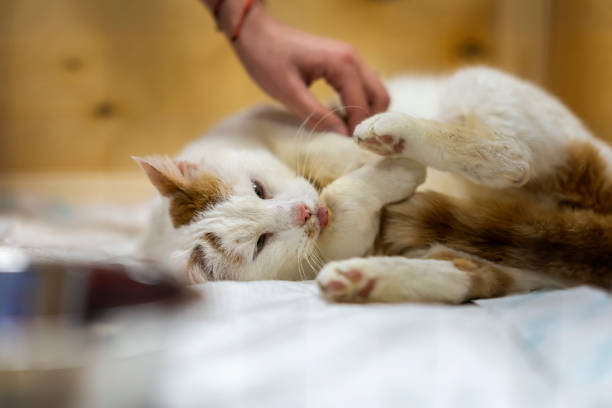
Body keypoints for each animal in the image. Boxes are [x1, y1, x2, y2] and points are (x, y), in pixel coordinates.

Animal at [136, 67, 612, 302]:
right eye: (260, 244)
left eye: (258, 189)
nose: (305, 213)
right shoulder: (331, 242)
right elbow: (342, 204)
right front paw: (394, 176)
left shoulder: (288, 125)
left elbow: (330, 151)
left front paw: (375, 163)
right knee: (467, 274)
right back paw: (361, 279)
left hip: (476, 87)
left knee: (515, 156)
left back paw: (391, 133)